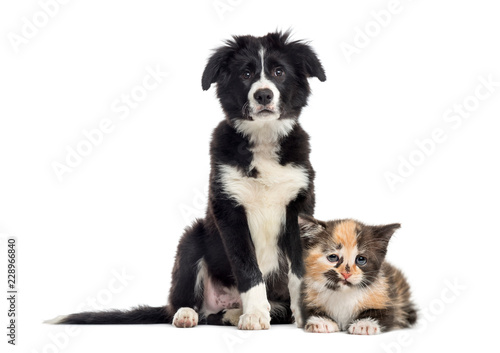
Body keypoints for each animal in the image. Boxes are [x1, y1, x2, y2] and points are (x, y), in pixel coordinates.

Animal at [48, 31, 324, 328]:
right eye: (246, 73)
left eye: (279, 72)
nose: (263, 94)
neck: (263, 138)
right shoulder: (229, 211)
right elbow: (248, 269)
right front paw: (254, 315)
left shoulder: (299, 206)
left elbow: (299, 270)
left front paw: (308, 315)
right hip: (191, 240)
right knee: (189, 303)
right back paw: (189, 314)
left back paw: (238, 312)